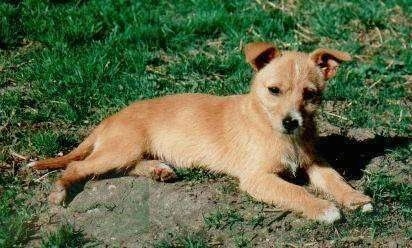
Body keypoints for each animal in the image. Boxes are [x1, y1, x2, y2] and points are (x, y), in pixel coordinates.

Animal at [31, 42, 374, 223]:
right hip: (119, 149)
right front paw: (322, 208)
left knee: (124, 167)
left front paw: (355, 198)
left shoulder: (315, 163)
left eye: (311, 95)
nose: (291, 122)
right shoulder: (257, 178)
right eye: (274, 90)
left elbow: (336, 179)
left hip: (126, 152)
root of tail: (110, 119)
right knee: (77, 167)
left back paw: (158, 170)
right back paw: (60, 191)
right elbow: (295, 192)